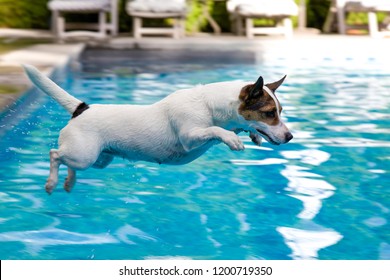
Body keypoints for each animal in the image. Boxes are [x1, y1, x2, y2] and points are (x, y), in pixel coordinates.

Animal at [23, 64, 292, 194]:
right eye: (270, 113)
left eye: (280, 111)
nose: (290, 137)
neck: (209, 105)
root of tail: (82, 108)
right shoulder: (189, 137)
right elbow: (215, 131)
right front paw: (232, 138)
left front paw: (253, 134)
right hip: (84, 155)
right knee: (55, 155)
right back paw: (51, 182)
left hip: (98, 159)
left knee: (68, 162)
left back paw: (68, 182)